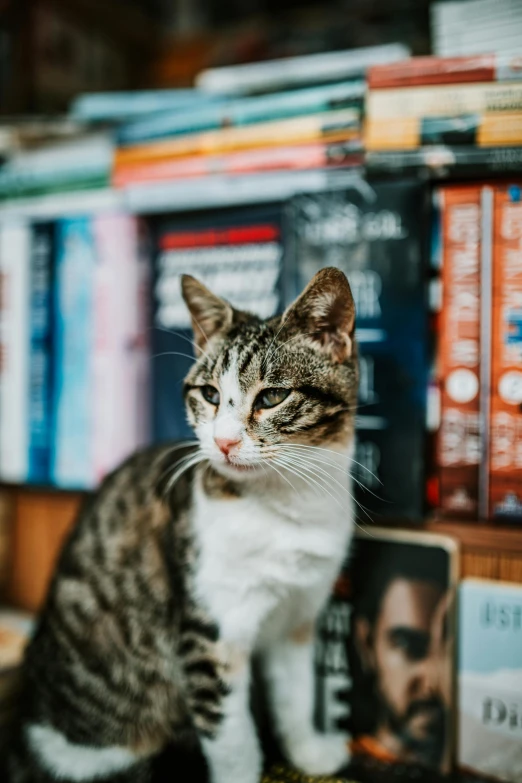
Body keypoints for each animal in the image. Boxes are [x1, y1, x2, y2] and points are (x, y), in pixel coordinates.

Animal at [6, 268, 358, 783]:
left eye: (272, 396)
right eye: (209, 395)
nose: (224, 441)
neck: (285, 505)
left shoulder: (297, 614)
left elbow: (295, 695)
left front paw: (309, 753)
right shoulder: (208, 632)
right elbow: (233, 741)